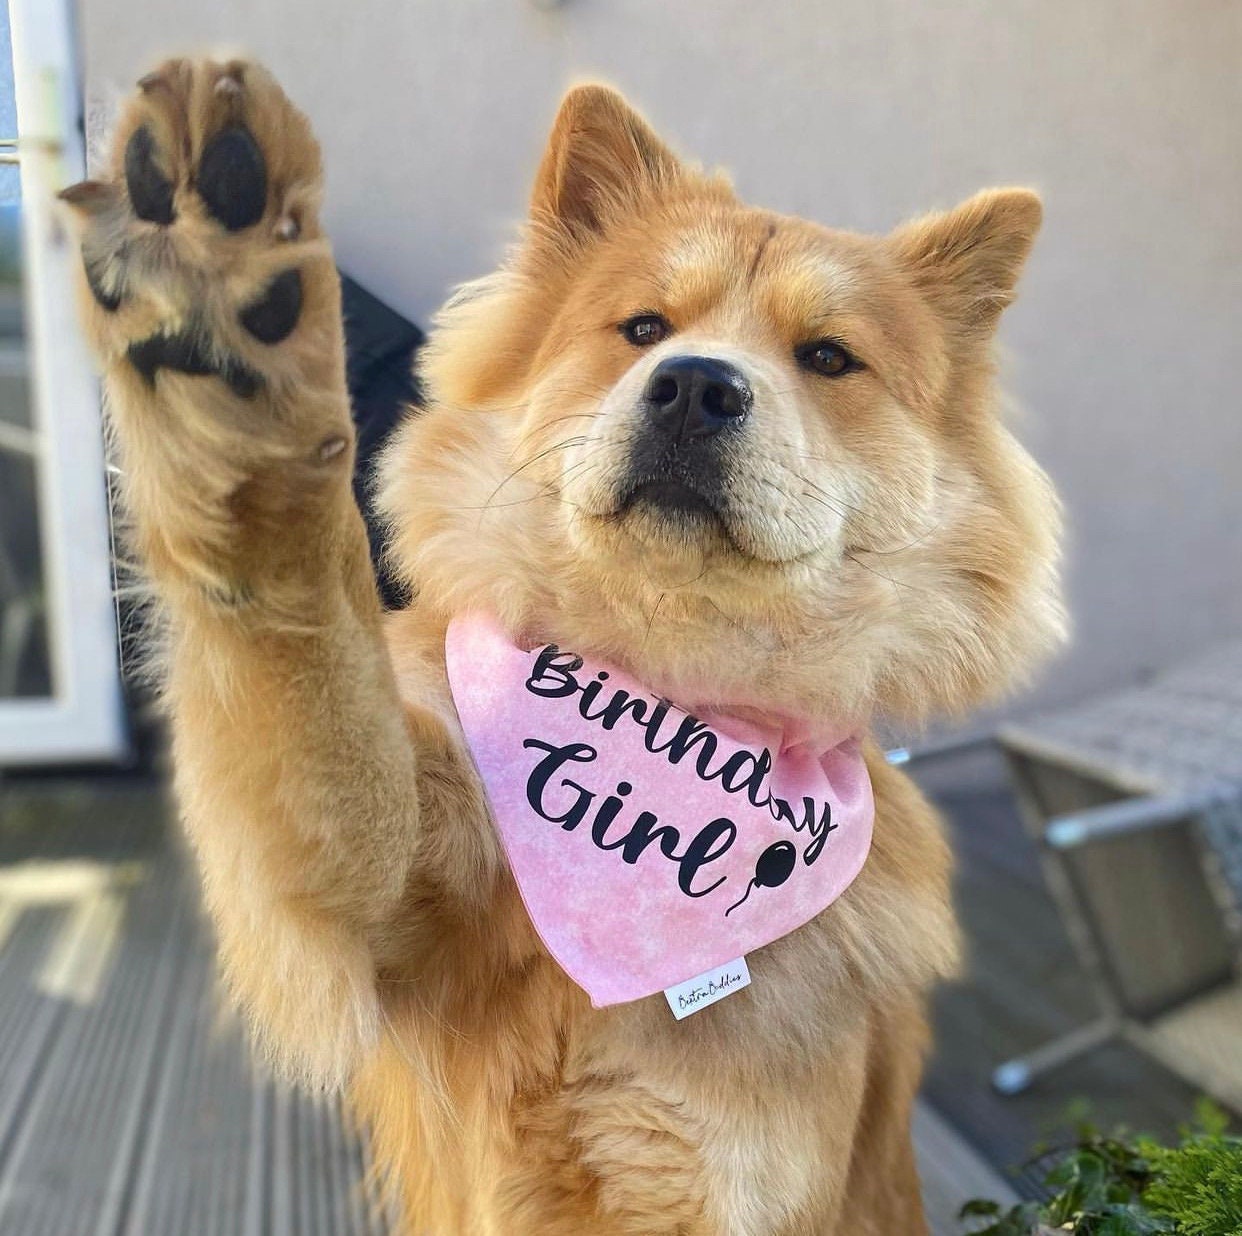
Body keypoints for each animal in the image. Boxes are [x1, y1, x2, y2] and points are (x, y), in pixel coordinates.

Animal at [63, 58, 1063, 1236]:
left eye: (829, 358)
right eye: (642, 328)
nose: (695, 384)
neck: (665, 696)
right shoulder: (374, 890)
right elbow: (316, 687)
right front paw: (232, 364)